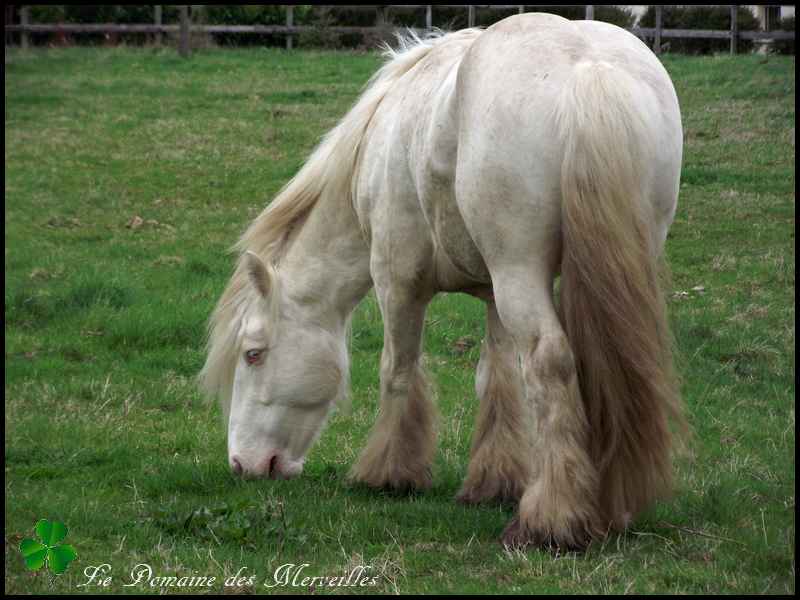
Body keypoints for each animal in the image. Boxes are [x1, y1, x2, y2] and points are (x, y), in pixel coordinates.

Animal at [198, 11, 680, 552]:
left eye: (253, 354)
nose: (243, 465)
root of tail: (587, 68)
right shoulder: (492, 294)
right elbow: (497, 377)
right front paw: (493, 481)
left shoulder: (397, 283)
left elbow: (397, 371)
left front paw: (388, 474)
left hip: (520, 276)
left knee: (550, 362)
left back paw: (549, 521)